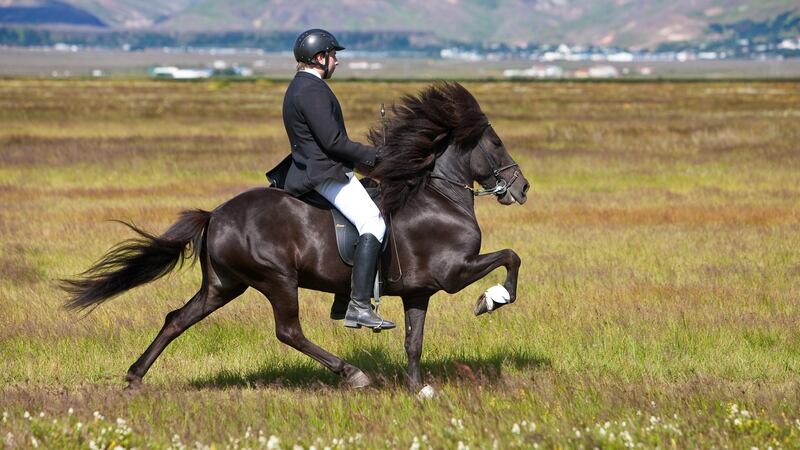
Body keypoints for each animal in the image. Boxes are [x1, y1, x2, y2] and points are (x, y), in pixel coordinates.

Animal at [59, 81, 528, 394]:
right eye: (496, 143)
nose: (522, 188)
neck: (437, 197)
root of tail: (216, 215)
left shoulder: (420, 291)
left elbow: (414, 342)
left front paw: (419, 390)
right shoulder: (453, 273)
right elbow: (511, 256)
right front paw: (492, 299)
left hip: (224, 284)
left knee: (178, 318)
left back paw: (135, 376)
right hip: (276, 280)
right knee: (289, 331)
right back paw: (352, 373)